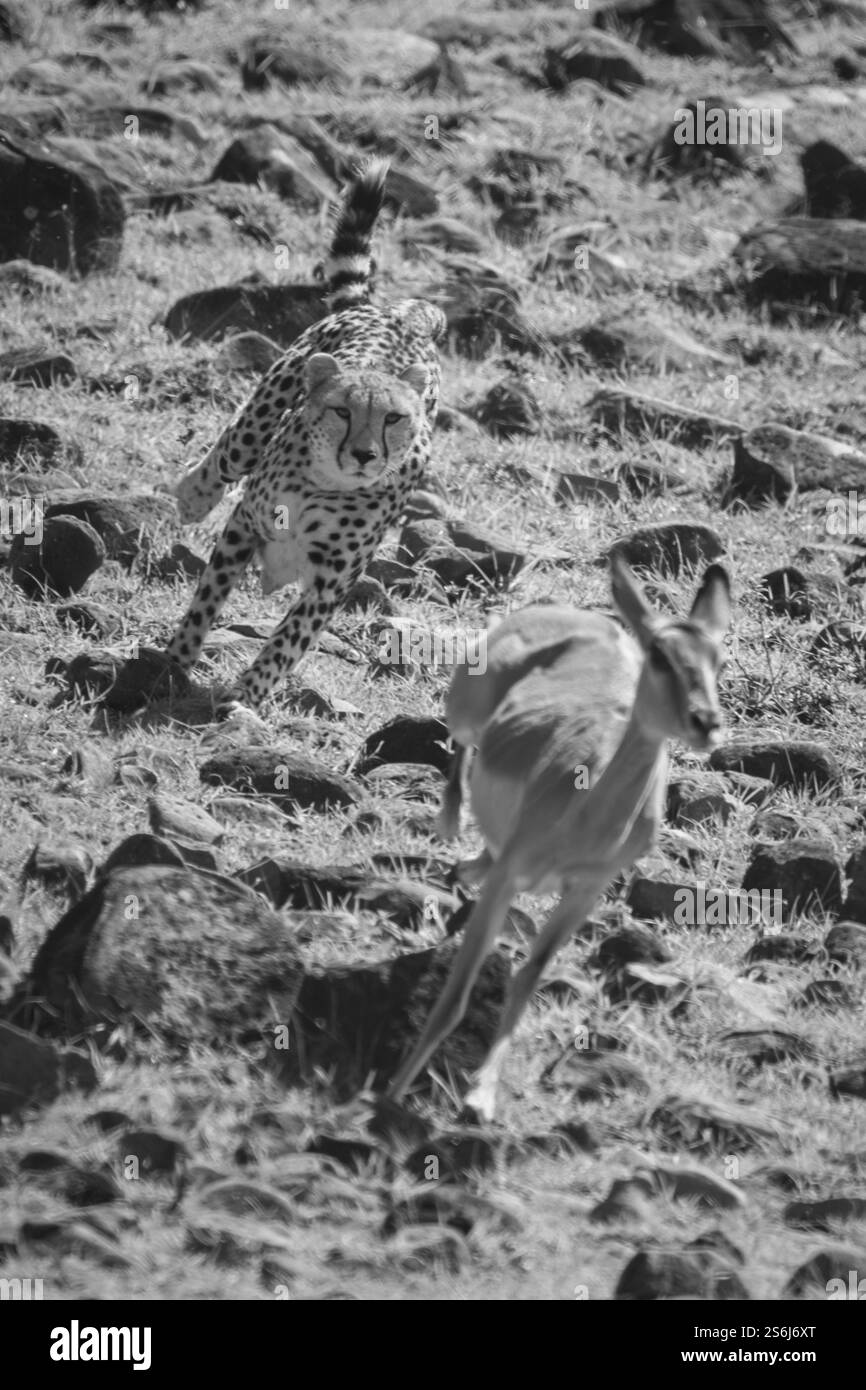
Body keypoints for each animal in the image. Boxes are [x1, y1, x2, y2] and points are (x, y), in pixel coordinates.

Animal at [166, 157, 444, 711]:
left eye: (393, 419)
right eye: (341, 411)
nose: (363, 454)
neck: (326, 484)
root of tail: (393, 313)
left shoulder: (333, 580)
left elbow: (289, 639)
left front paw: (246, 698)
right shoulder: (245, 524)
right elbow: (208, 597)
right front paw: (179, 656)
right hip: (260, 417)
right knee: (227, 453)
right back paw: (192, 496)